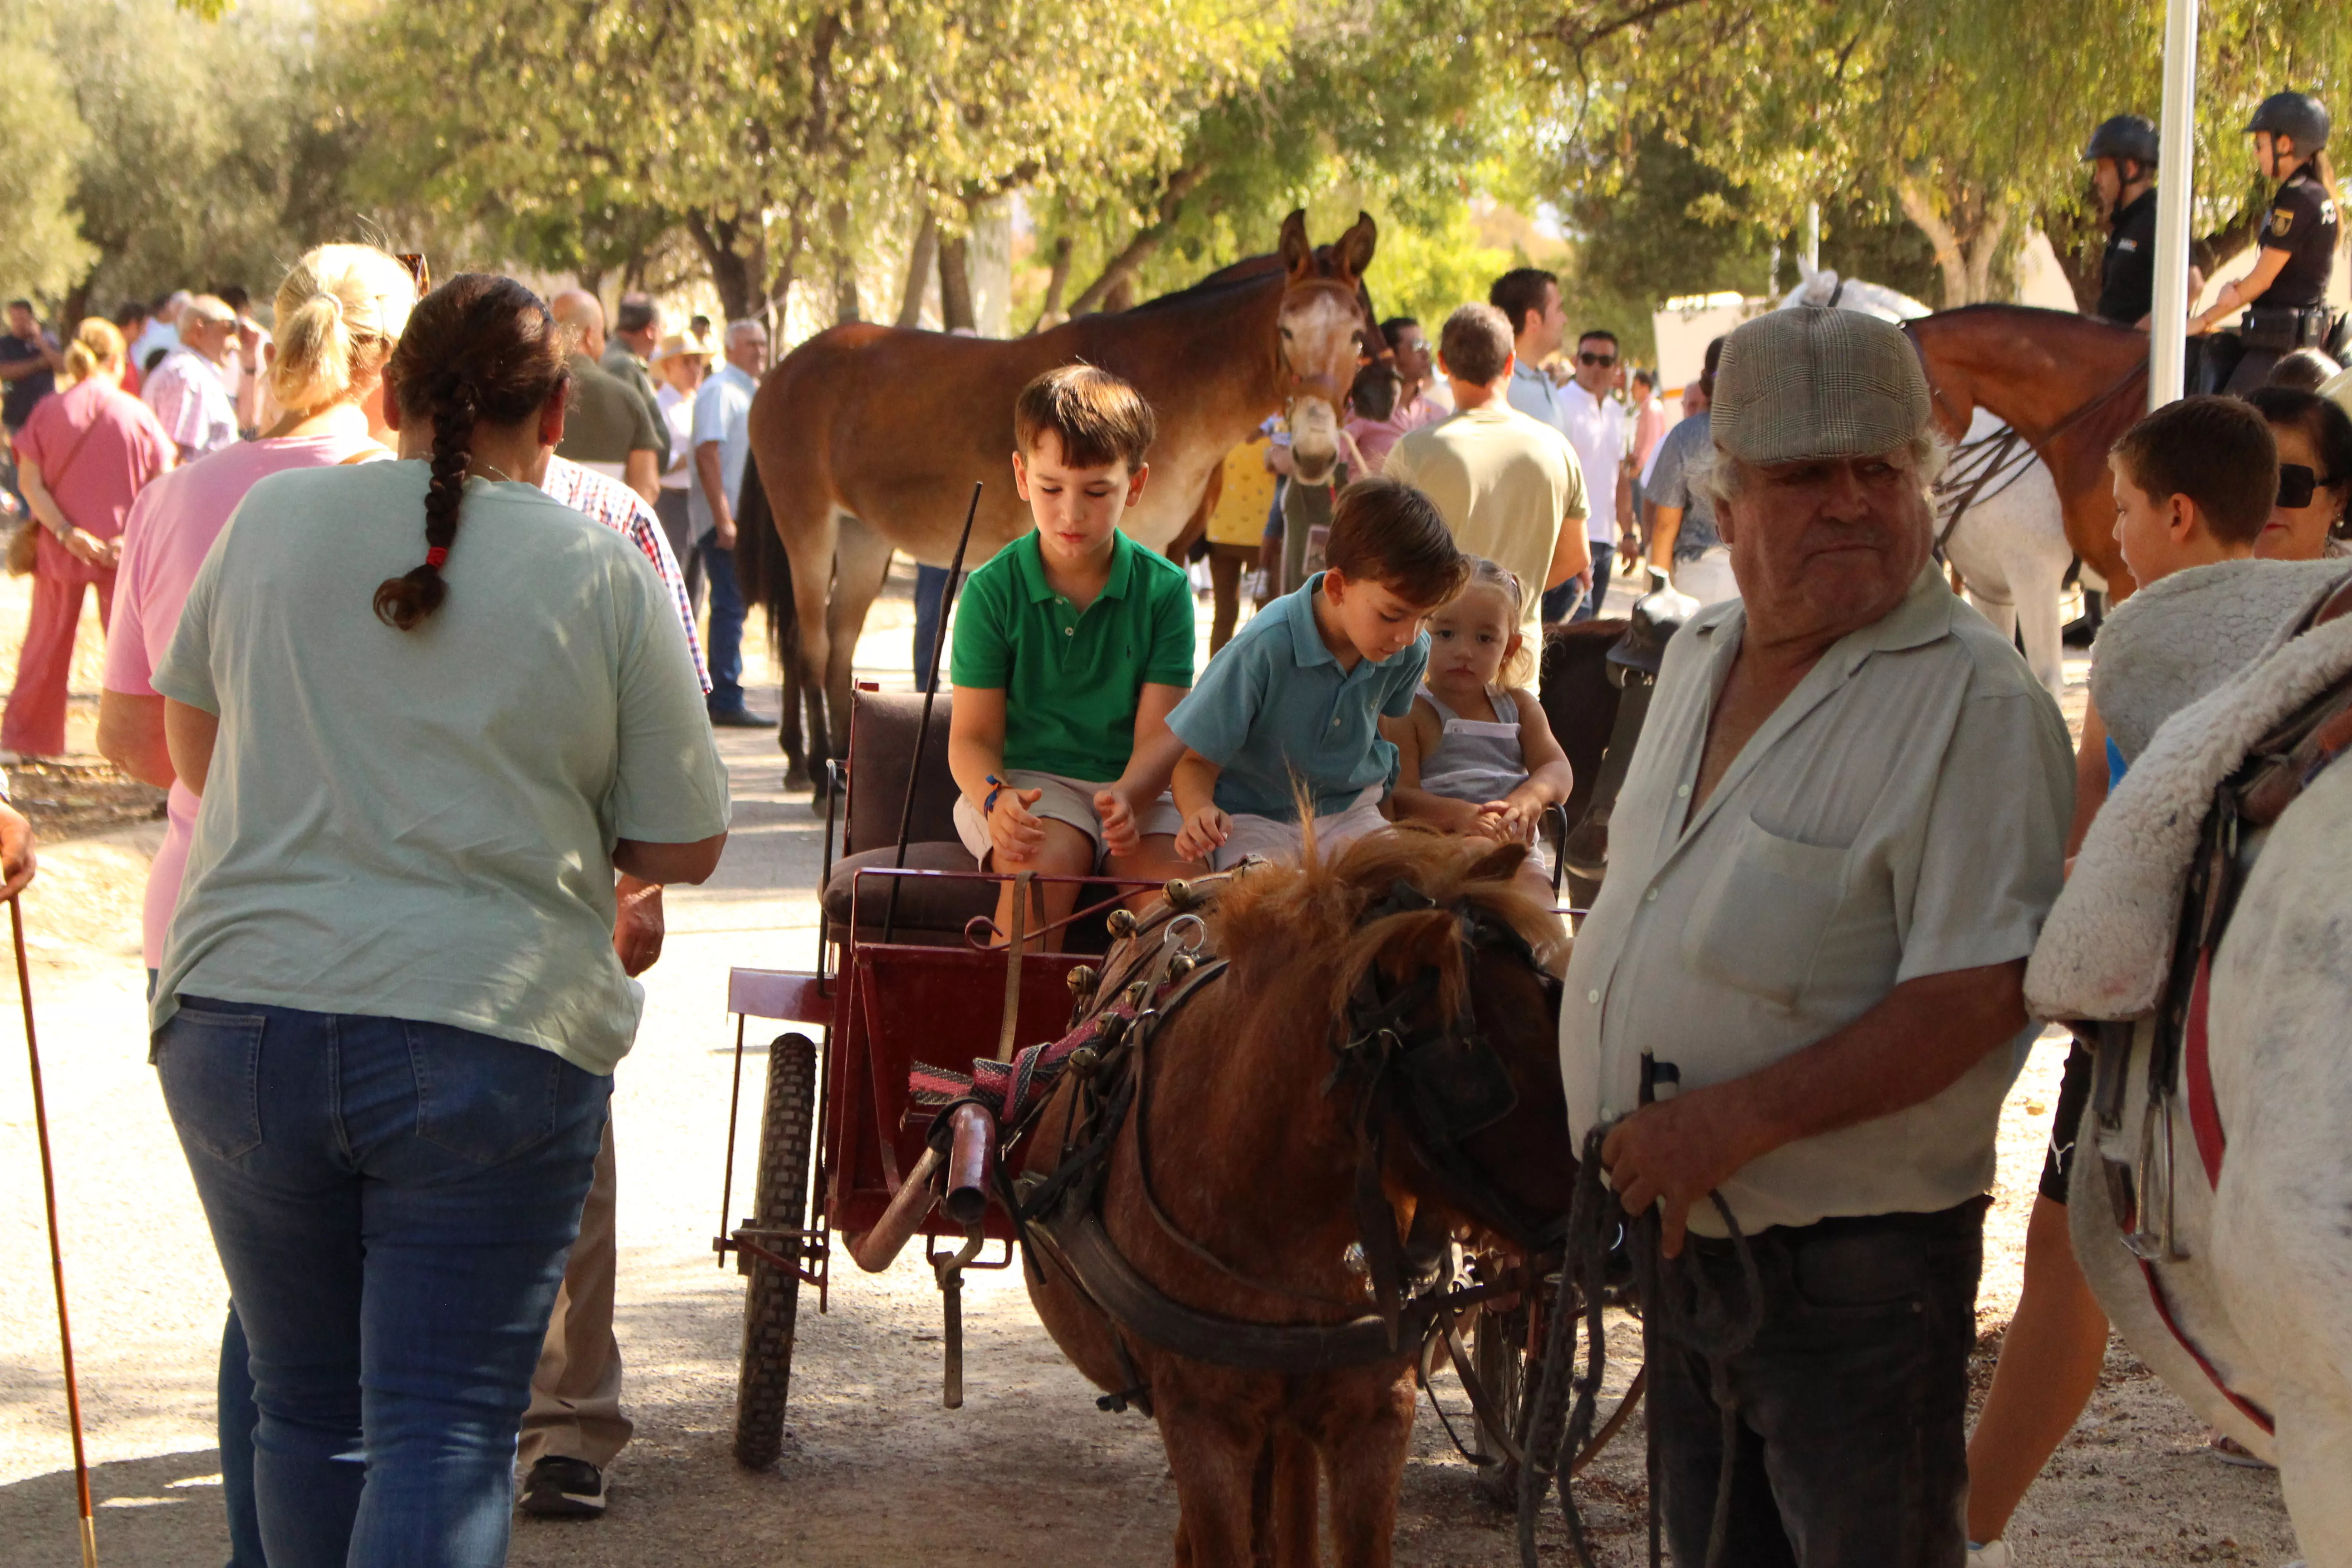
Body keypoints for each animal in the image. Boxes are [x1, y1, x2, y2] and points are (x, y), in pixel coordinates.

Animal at [743, 212, 1383, 789]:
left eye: (1355, 334)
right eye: (1287, 331)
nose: (1315, 454)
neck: (1168, 379)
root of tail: (781, 370)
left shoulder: (1161, 549)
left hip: (863, 540)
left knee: (838, 650)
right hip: (809, 528)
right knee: (811, 646)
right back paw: (813, 771)